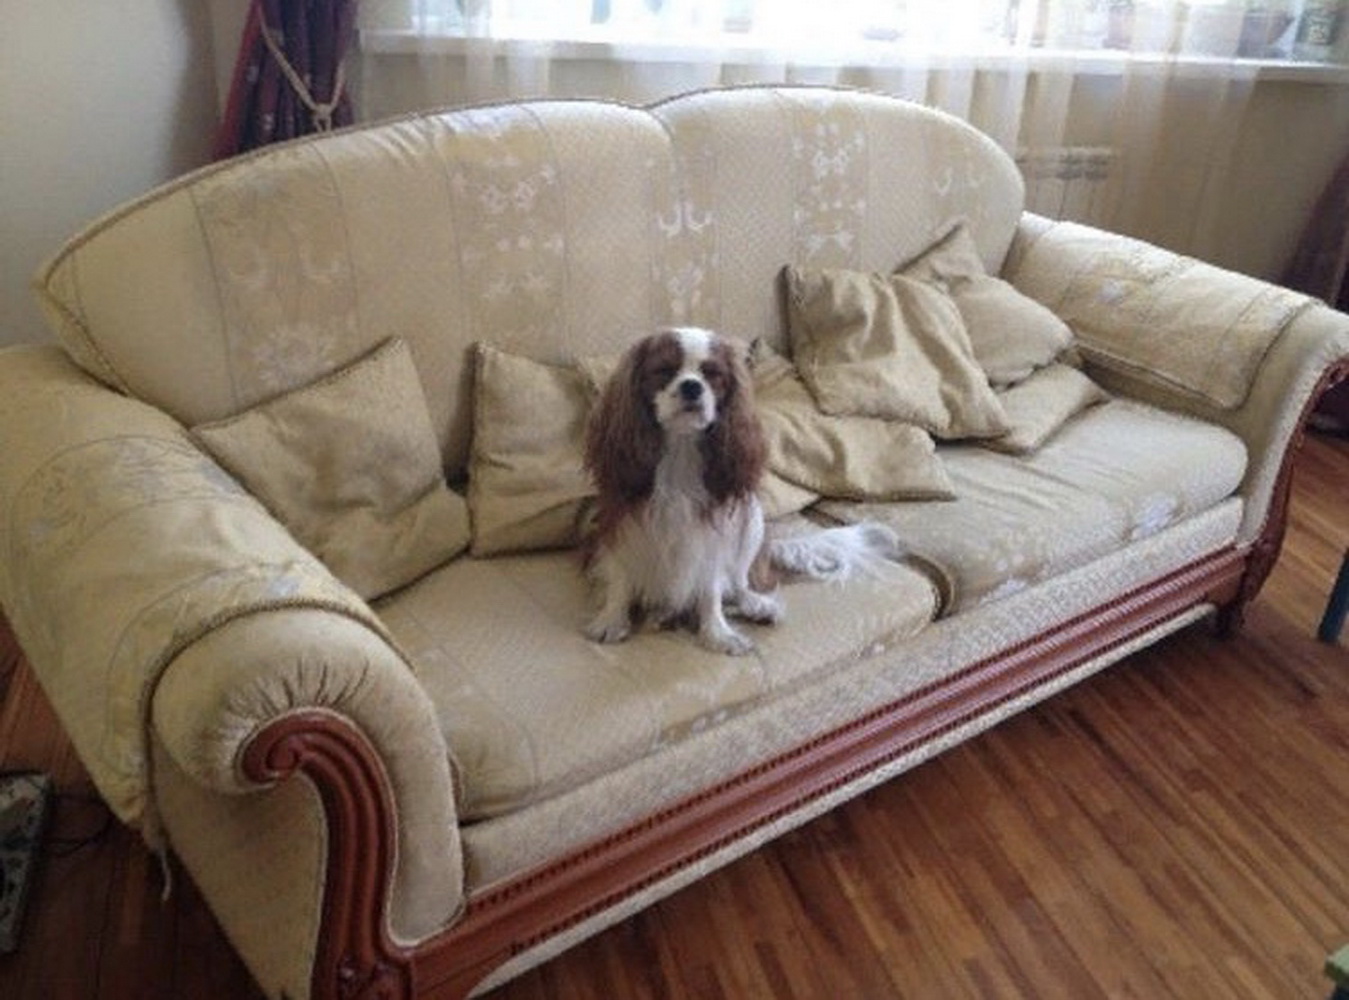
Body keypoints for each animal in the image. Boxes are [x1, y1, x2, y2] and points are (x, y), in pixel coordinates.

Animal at [582, 326, 900, 655]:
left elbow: (710, 589)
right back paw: (663, 613)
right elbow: (621, 577)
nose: (692, 387)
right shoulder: (619, 521)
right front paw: (612, 619)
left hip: (753, 520)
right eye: (664, 370)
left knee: (737, 583)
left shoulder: (715, 530)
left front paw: (717, 633)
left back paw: (755, 605)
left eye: (712, 375)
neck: (681, 449)